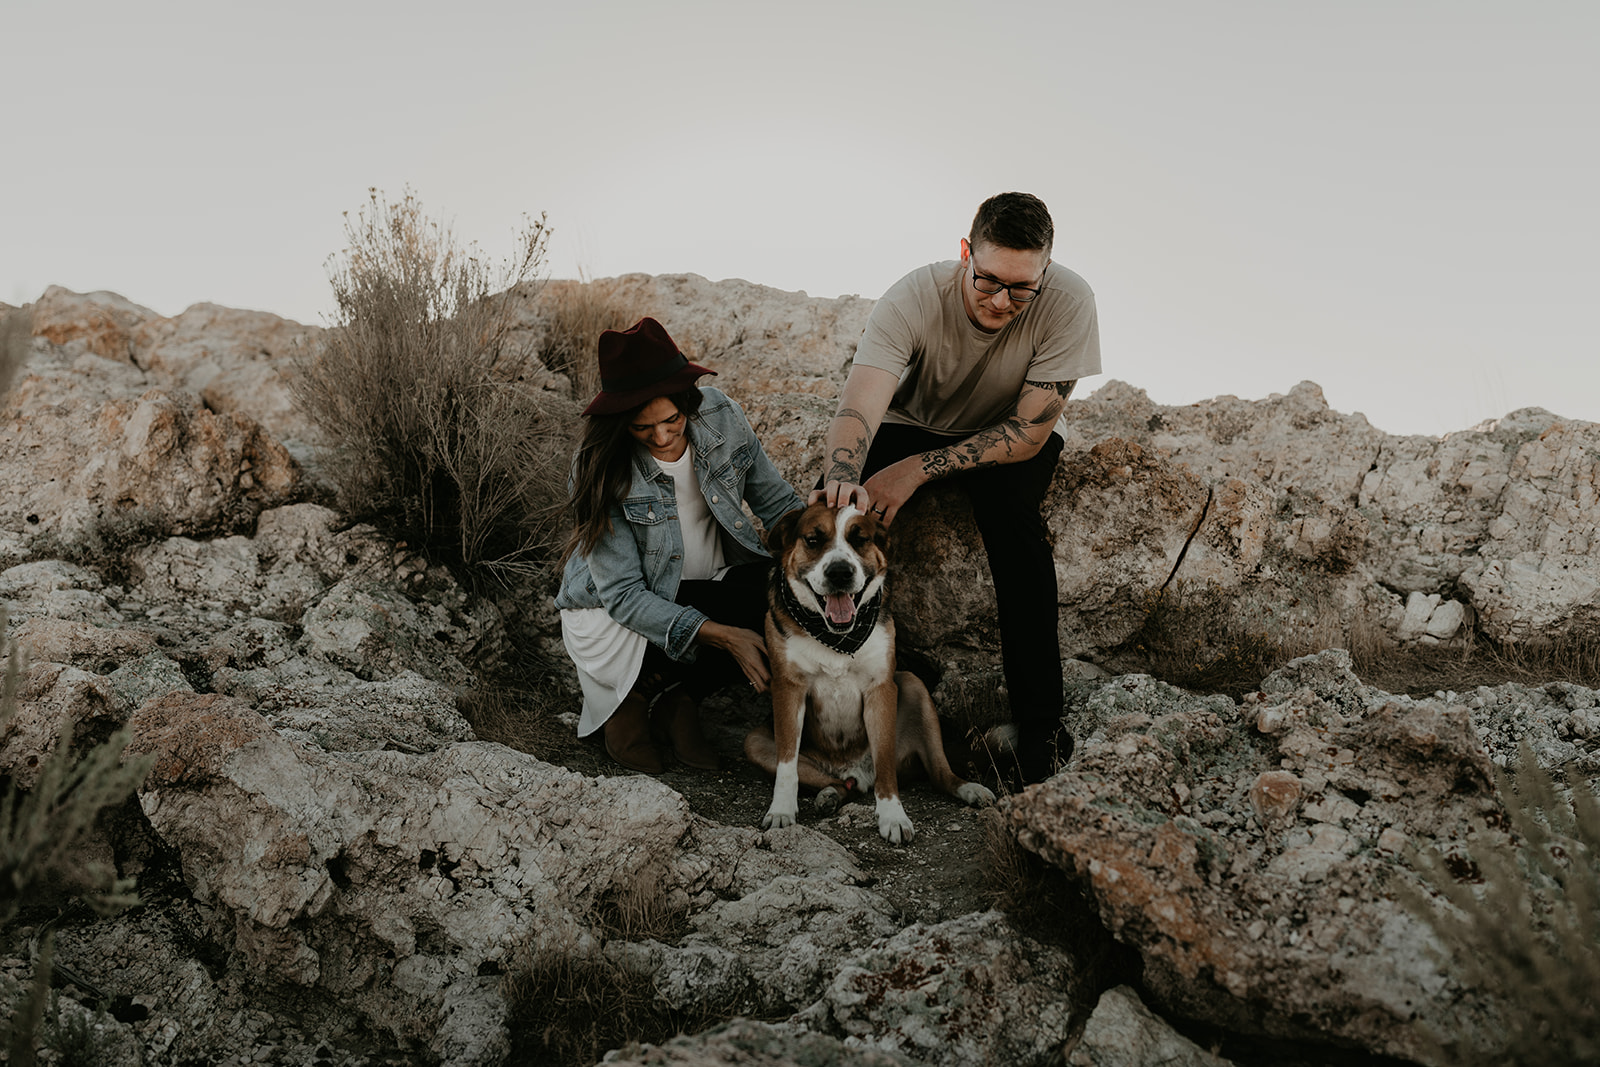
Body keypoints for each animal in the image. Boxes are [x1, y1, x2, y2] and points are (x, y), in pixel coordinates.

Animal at [745, 502, 992, 844]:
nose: (839, 572)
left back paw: (969, 789)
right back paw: (830, 794)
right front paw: (781, 810)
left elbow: (885, 765)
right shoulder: (787, 689)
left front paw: (893, 816)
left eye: (859, 539)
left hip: (913, 685)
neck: (838, 636)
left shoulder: (880, 690)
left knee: (940, 775)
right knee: (842, 785)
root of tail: (854, 771)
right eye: (813, 540)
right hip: (756, 743)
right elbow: (786, 765)